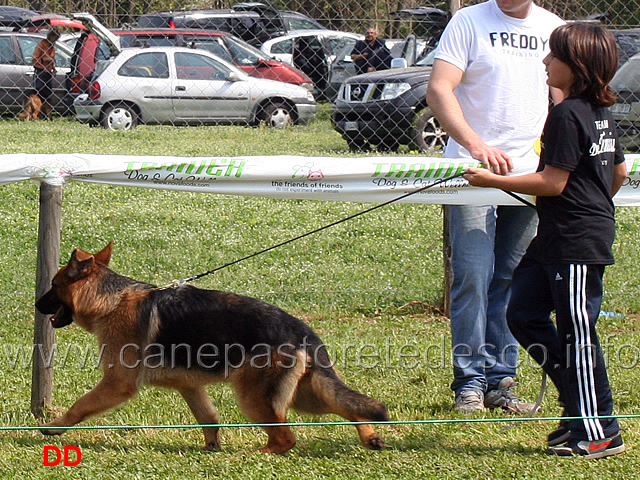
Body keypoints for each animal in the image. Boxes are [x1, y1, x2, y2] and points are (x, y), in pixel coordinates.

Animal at [36, 244, 390, 454]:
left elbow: (80, 405)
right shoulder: (189, 387)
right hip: (306, 394)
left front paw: (53, 428)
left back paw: (257, 454)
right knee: (347, 406)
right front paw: (212, 447)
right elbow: (208, 416)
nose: (37, 305)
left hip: (253, 398)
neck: (109, 300)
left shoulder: (116, 384)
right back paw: (369, 436)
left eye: (53, 286)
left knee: (286, 437)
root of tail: (303, 331)